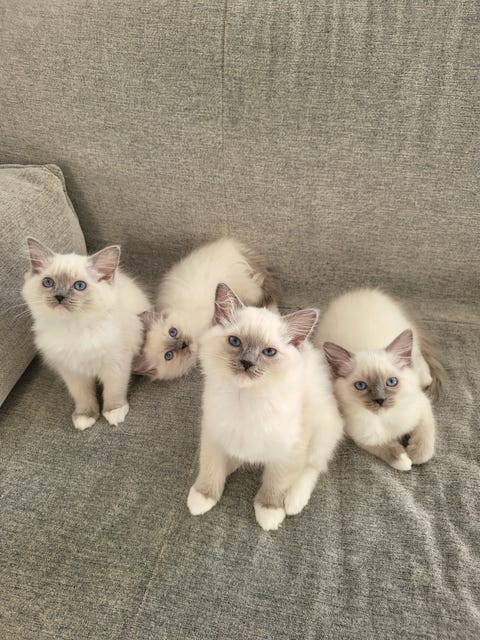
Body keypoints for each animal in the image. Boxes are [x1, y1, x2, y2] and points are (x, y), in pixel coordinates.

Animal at [22, 238, 150, 430]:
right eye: (48, 282)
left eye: (79, 286)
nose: (60, 297)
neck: (73, 328)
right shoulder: (72, 372)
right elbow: (83, 396)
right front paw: (85, 416)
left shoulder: (116, 364)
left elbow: (113, 391)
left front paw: (114, 412)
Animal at [187, 283, 343, 531]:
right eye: (235, 342)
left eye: (268, 352)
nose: (247, 363)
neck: (245, 399)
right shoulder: (214, 435)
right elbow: (211, 468)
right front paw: (203, 497)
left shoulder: (288, 451)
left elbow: (276, 482)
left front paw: (269, 512)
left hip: (322, 433)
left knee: (311, 467)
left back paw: (293, 501)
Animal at [315, 288, 444, 471]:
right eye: (361, 385)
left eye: (391, 382)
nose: (380, 400)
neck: (385, 419)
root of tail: (360, 291)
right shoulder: (363, 438)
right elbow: (389, 451)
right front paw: (404, 461)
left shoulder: (422, 406)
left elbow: (425, 443)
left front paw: (415, 456)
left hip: (409, 337)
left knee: (418, 359)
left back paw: (425, 377)